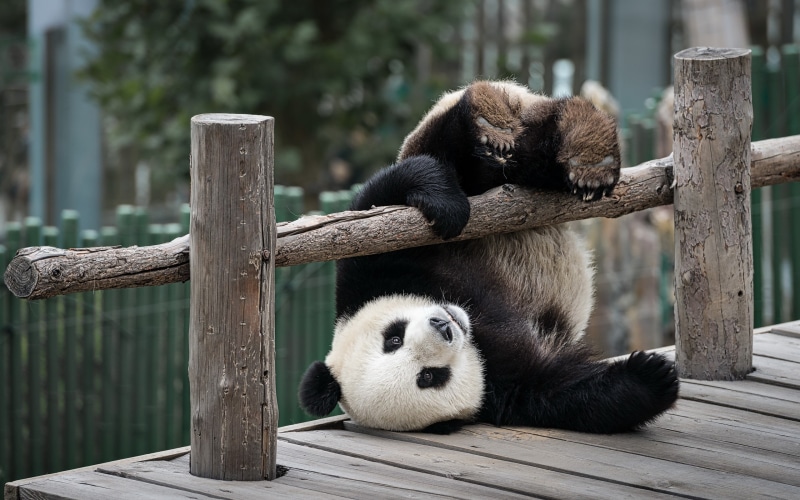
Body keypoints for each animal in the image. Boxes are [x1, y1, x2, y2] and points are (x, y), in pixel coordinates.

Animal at [298, 80, 679, 434]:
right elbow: (563, 393)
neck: (474, 325)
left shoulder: (367, 271)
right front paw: (653, 377)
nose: (443, 326)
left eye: (393, 337)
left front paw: (447, 207)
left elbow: (383, 197)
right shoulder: (502, 390)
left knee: (468, 152)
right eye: (429, 377)